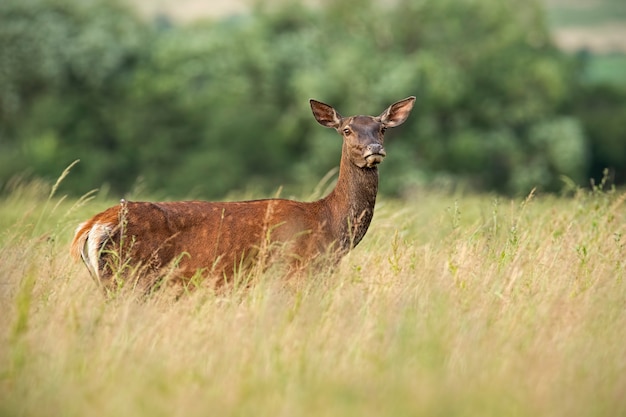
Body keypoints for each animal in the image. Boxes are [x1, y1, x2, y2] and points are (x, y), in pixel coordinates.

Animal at [70, 97, 414, 292]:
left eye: (382, 128)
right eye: (346, 130)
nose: (374, 149)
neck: (330, 226)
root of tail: (91, 226)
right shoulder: (295, 271)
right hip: (127, 276)